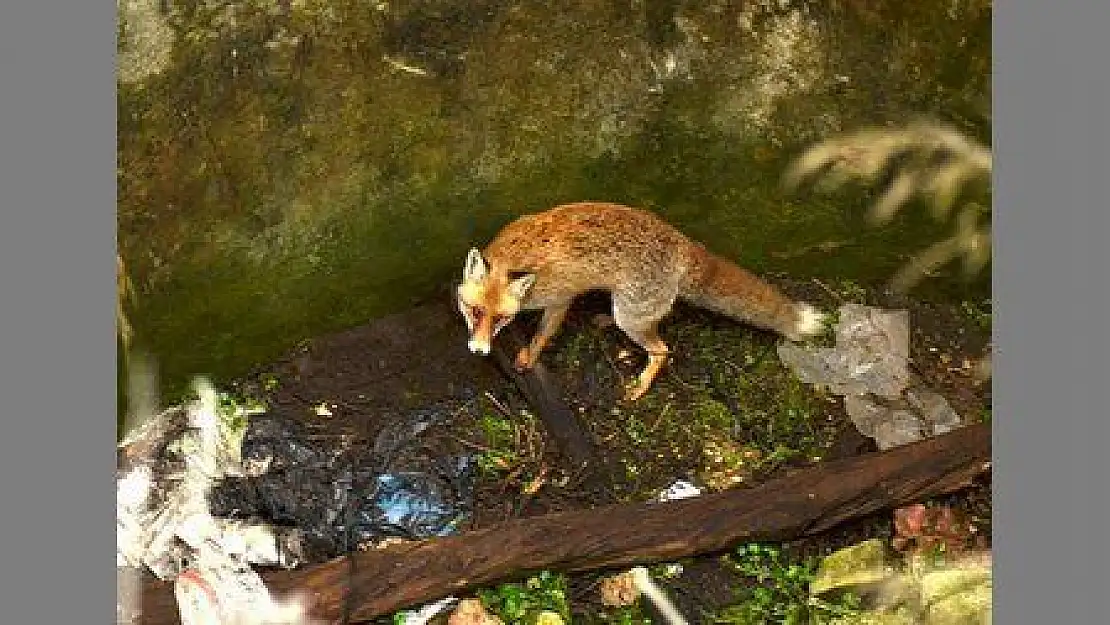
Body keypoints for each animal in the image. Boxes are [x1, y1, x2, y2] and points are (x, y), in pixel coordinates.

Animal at [455, 203, 830, 404]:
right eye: (476, 311)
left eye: (500, 317)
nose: (479, 351)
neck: (520, 255)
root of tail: (683, 243)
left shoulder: (560, 299)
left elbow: (544, 334)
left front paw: (529, 357)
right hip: (627, 309)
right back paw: (603, 321)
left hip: (633, 320)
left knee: (663, 350)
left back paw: (640, 386)